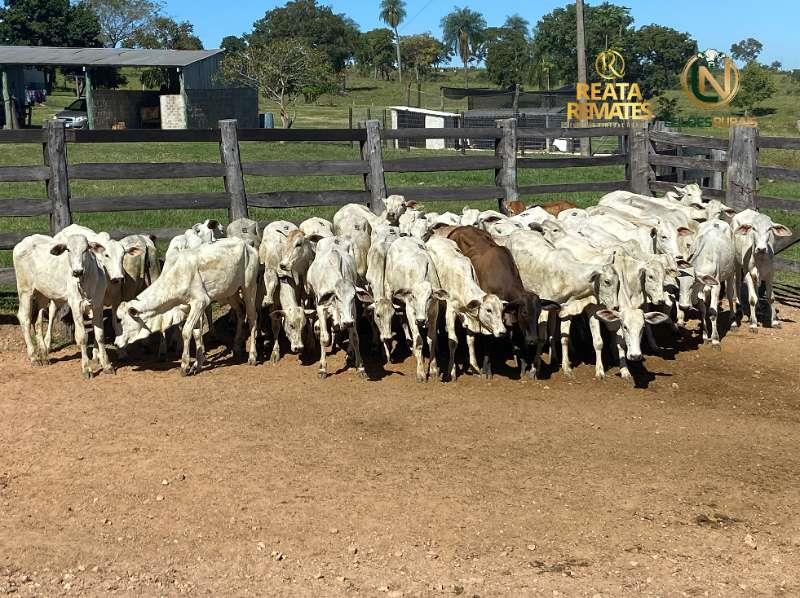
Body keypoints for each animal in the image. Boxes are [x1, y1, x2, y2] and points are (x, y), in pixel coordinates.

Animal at [13, 234, 112, 380]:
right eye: (68, 250)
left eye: (86, 249)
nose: (77, 271)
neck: (87, 283)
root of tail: (24, 241)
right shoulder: (76, 305)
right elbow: (82, 337)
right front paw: (86, 368)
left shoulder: (98, 305)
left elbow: (100, 335)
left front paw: (107, 365)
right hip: (25, 290)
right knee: (24, 318)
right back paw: (33, 357)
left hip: (42, 293)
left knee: (37, 321)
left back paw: (44, 354)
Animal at [115, 238, 258, 376]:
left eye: (120, 320)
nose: (116, 344)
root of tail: (248, 245)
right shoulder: (188, 306)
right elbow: (196, 333)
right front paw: (197, 365)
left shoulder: (200, 302)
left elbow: (186, 332)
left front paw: (185, 365)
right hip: (229, 292)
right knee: (241, 311)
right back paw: (237, 347)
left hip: (249, 287)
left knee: (252, 318)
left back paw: (252, 356)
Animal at [444, 226, 556, 380]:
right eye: (524, 312)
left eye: (538, 313)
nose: (533, 340)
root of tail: (459, 228)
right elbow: (488, 342)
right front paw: (487, 370)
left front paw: (523, 367)